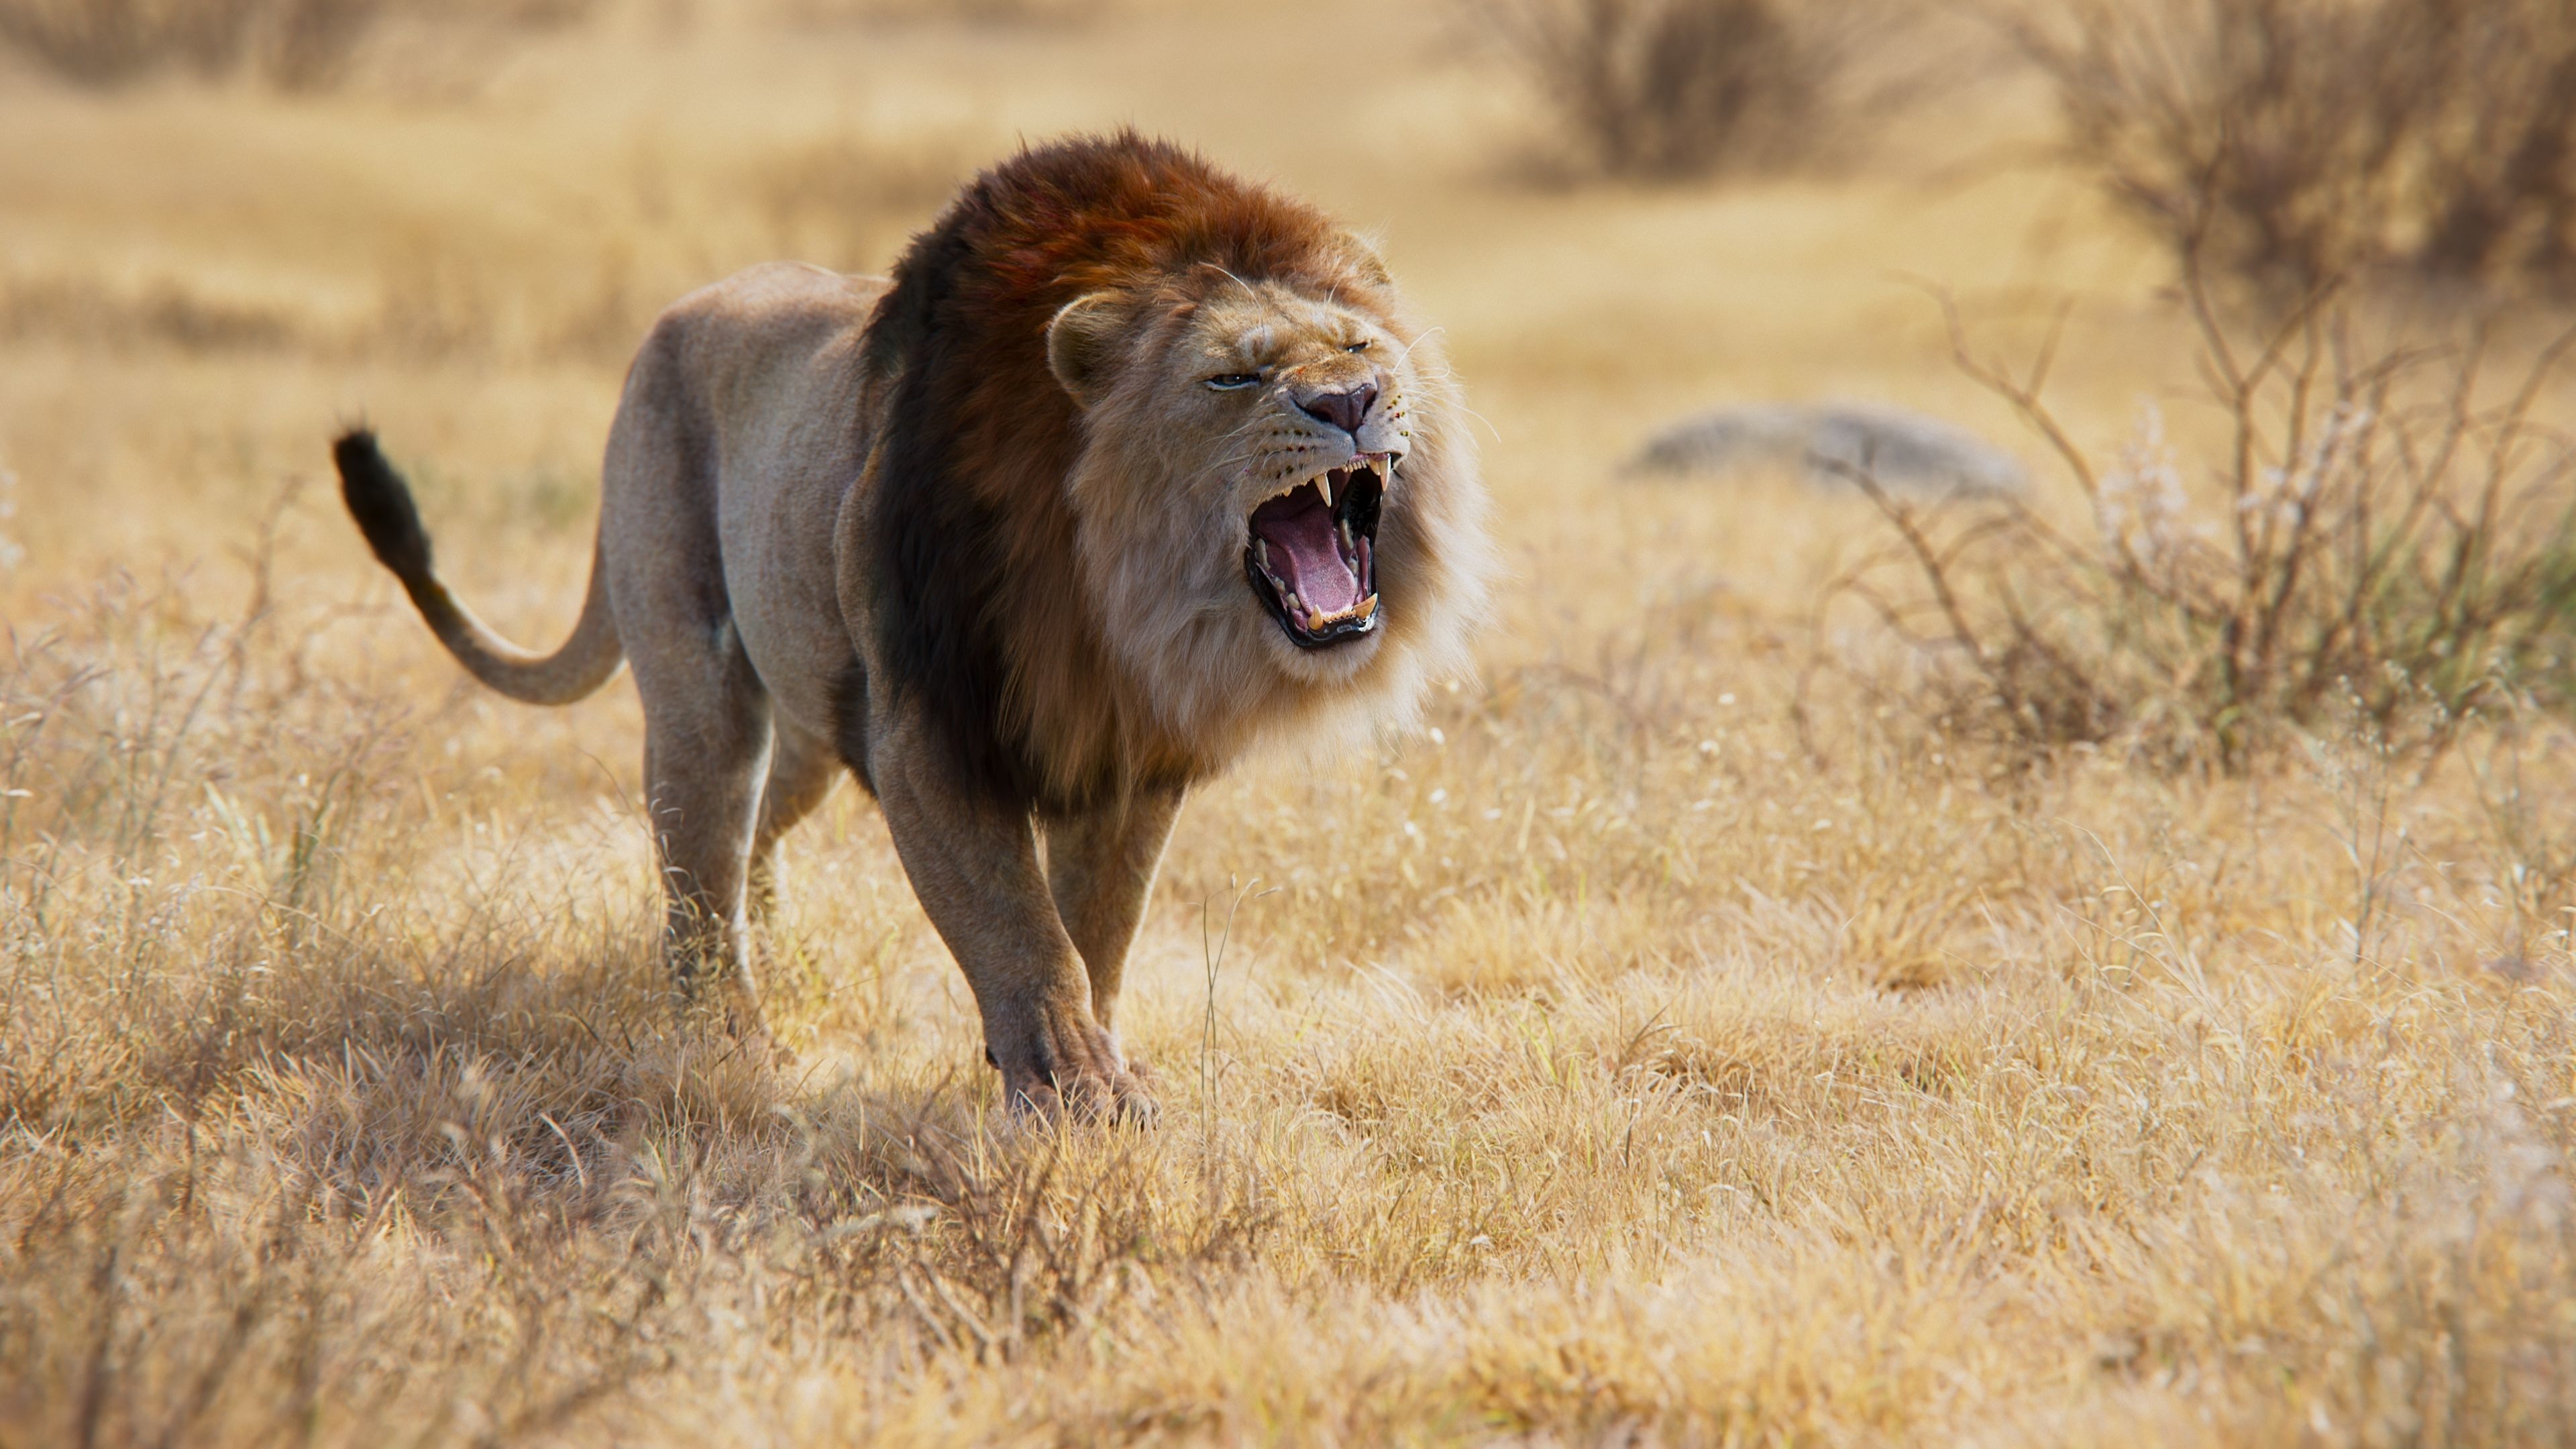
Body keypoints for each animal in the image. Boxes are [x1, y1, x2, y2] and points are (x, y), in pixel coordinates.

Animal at [331, 132, 1492, 1120]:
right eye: (1233, 375)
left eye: (1359, 343)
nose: (1350, 399)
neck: (1112, 601)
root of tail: (670, 320)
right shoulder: (929, 728)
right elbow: (1022, 929)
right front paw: (1075, 1091)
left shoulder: (1129, 756)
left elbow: (1099, 927)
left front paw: (1098, 1063)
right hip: (704, 690)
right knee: (698, 871)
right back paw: (732, 1044)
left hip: (808, 717)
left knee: (758, 839)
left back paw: (785, 963)